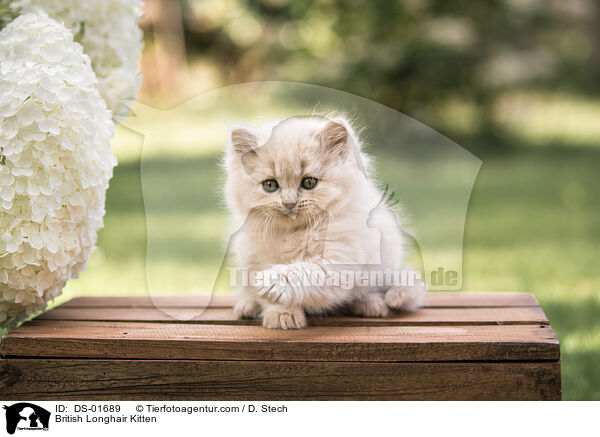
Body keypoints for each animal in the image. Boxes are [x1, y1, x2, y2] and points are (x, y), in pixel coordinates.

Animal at [223, 116, 424, 328]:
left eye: (309, 182)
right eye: (270, 185)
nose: (289, 203)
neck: (294, 233)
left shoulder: (339, 263)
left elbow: (304, 271)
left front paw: (272, 281)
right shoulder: (254, 259)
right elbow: (267, 296)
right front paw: (282, 315)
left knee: (371, 290)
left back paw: (370, 304)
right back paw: (247, 306)